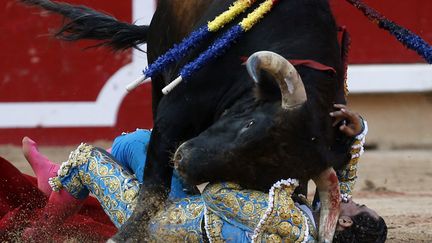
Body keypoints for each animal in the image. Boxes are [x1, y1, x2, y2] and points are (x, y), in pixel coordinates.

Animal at [19, 0, 428, 241]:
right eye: (249, 124)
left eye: (258, 177)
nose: (183, 161)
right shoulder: (174, 112)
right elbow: (153, 188)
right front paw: (128, 234)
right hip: (160, 61)